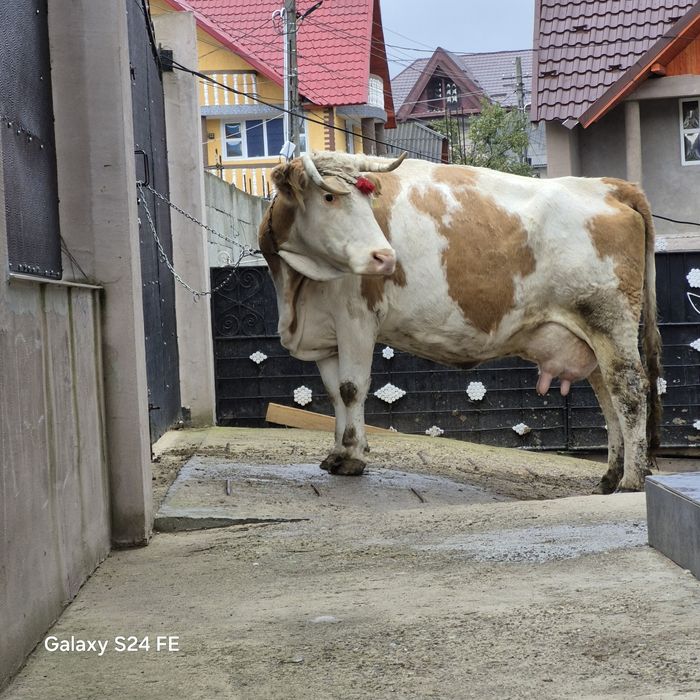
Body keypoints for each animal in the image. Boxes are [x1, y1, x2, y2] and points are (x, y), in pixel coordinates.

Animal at [258, 151, 662, 493]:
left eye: (365, 202)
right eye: (329, 198)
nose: (385, 257)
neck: (296, 290)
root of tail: (608, 185)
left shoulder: (357, 318)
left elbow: (351, 388)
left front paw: (353, 458)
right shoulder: (325, 333)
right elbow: (333, 393)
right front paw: (339, 453)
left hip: (610, 320)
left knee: (628, 390)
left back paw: (631, 481)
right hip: (591, 336)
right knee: (608, 397)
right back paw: (609, 478)